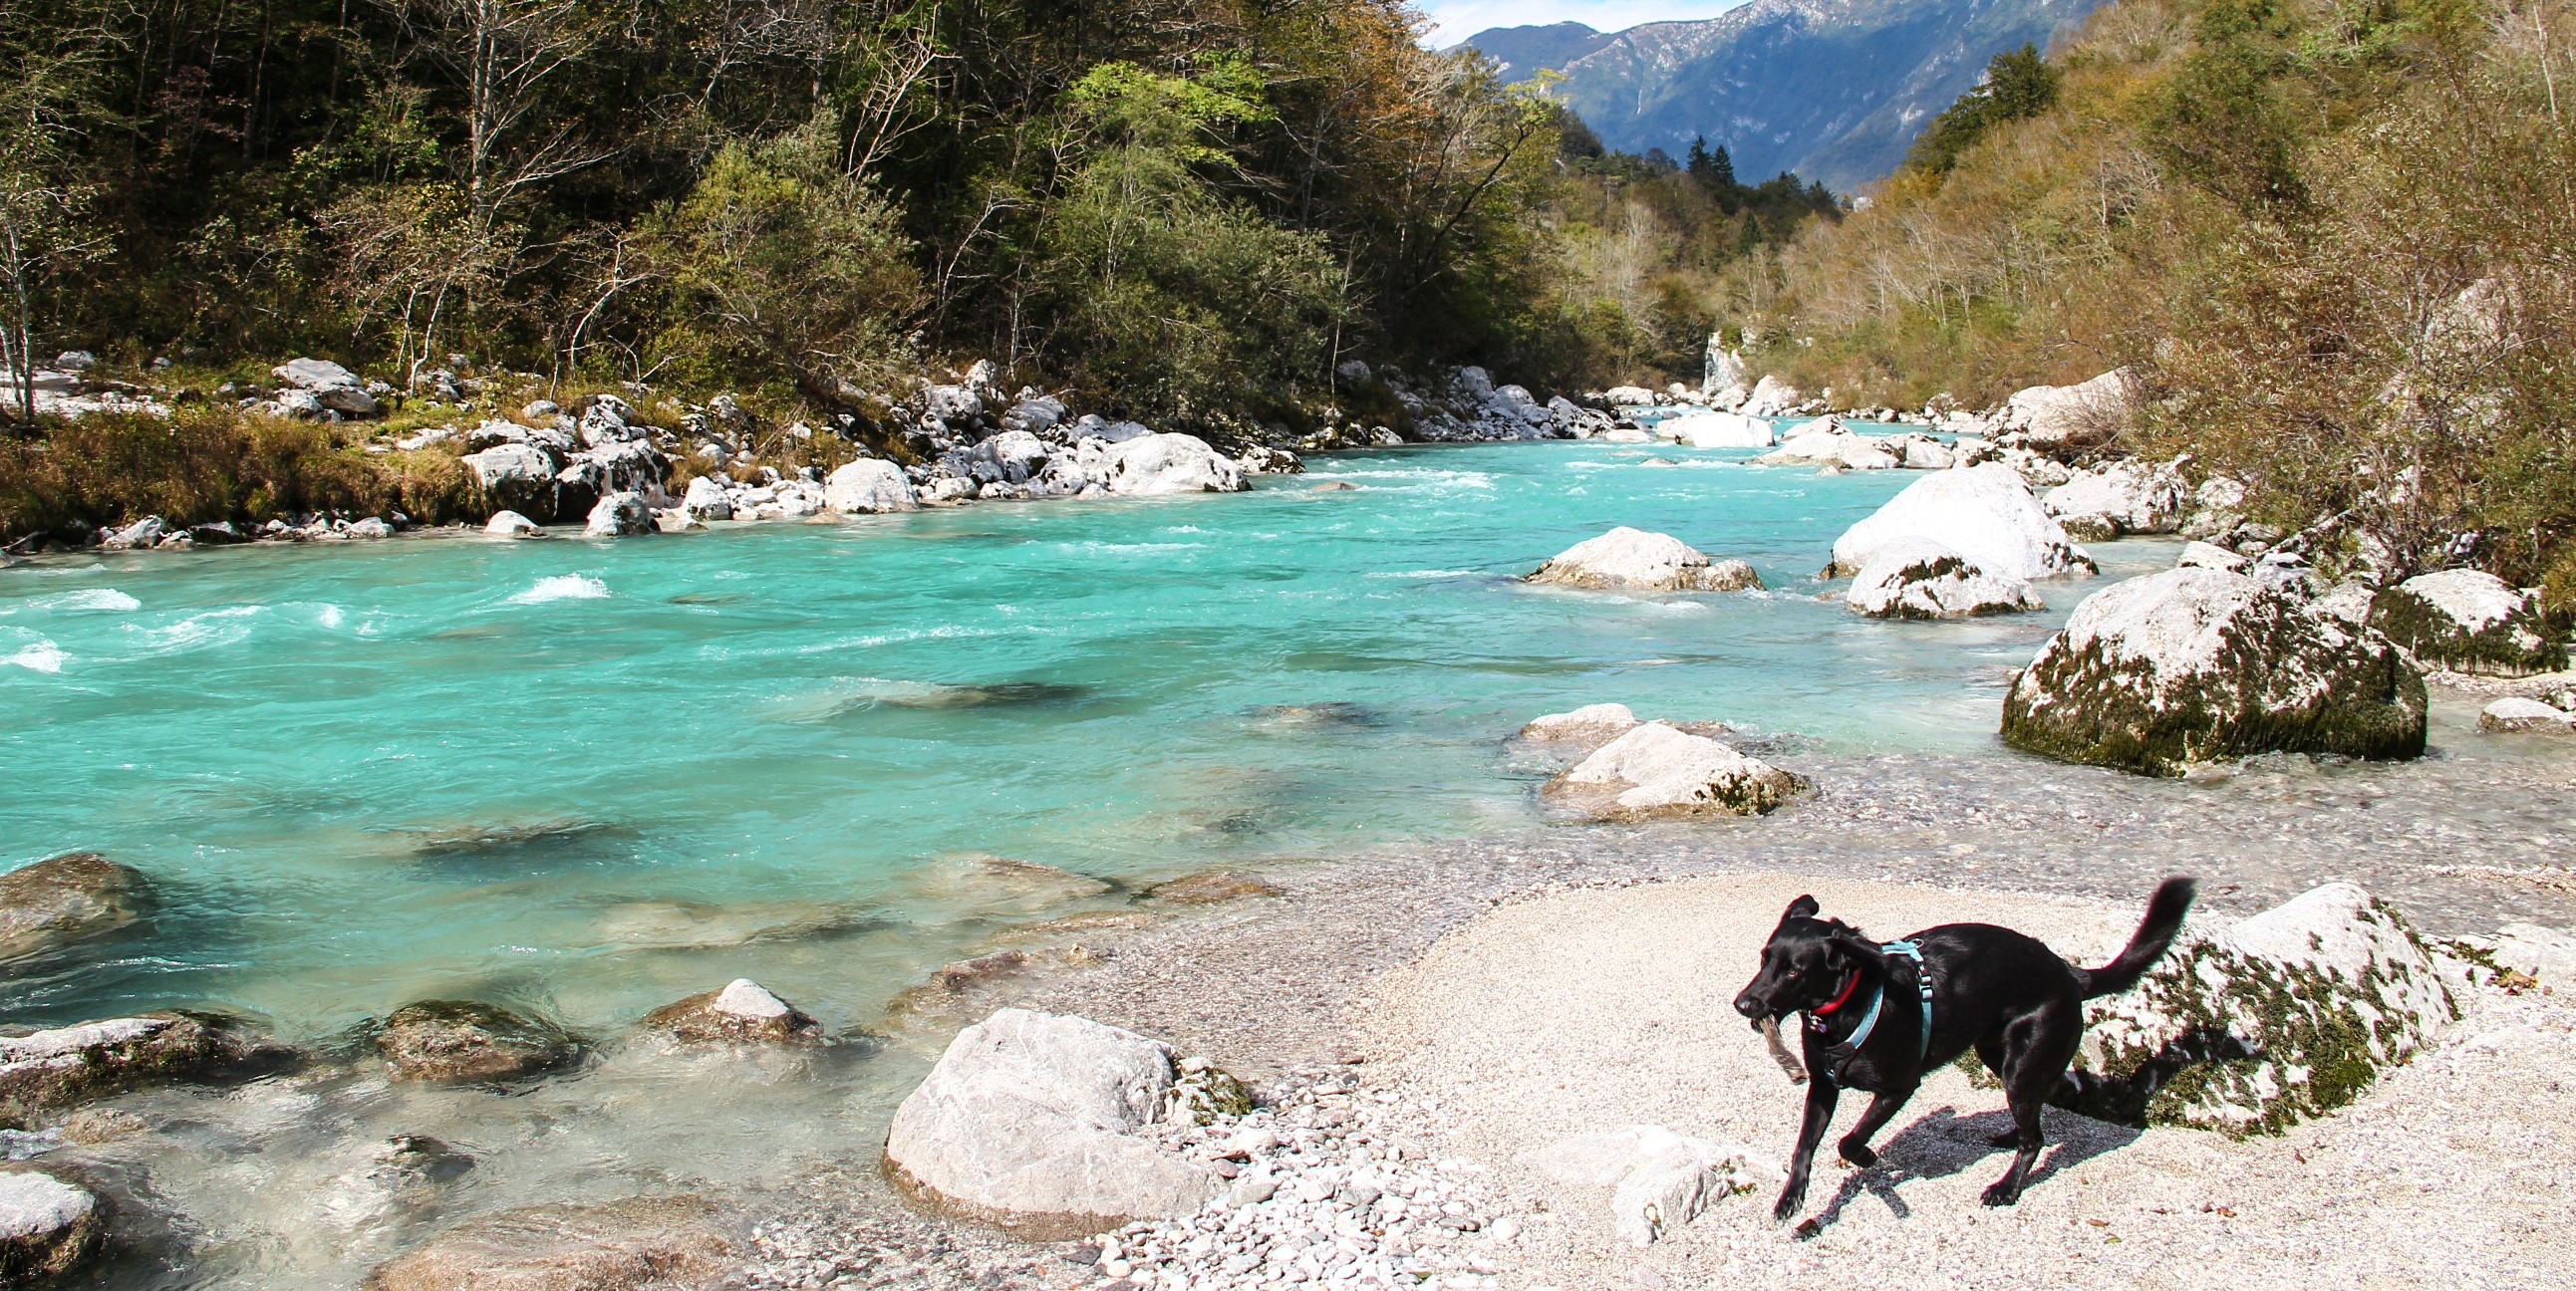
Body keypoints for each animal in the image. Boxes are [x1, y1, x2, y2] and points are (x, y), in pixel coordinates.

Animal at [1731, 876, 2194, 1215]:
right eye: (1764, 958)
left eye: (1794, 971)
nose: (1743, 1003)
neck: (1848, 1003)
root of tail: (2069, 974)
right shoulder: (1823, 1086)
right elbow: (1804, 1146)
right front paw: (1792, 1197)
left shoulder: (1899, 1088)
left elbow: (1850, 1139)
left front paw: (1866, 1157)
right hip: (1997, 1054)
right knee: (2036, 1118)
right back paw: (2012, 1135)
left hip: (2022, 1065)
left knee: (2035, 1136)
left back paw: (2007, 1188)